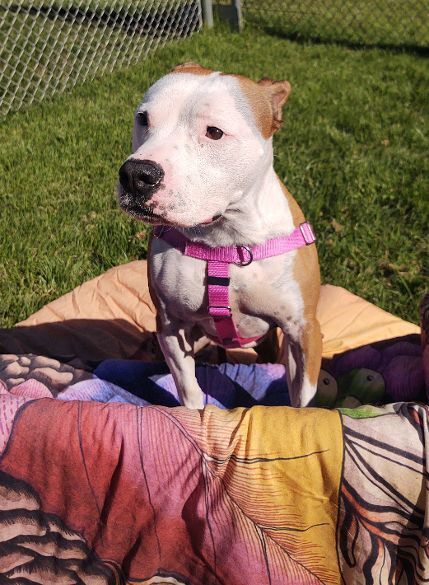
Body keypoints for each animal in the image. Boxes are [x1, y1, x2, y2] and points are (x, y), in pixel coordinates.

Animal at [118, 62, 320, 406]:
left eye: (214, 132)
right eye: (143, 118)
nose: (135, 175)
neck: (227, 238)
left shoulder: (303, 330)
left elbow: (303, 402)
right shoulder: (170, 326)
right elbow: (189, 389)